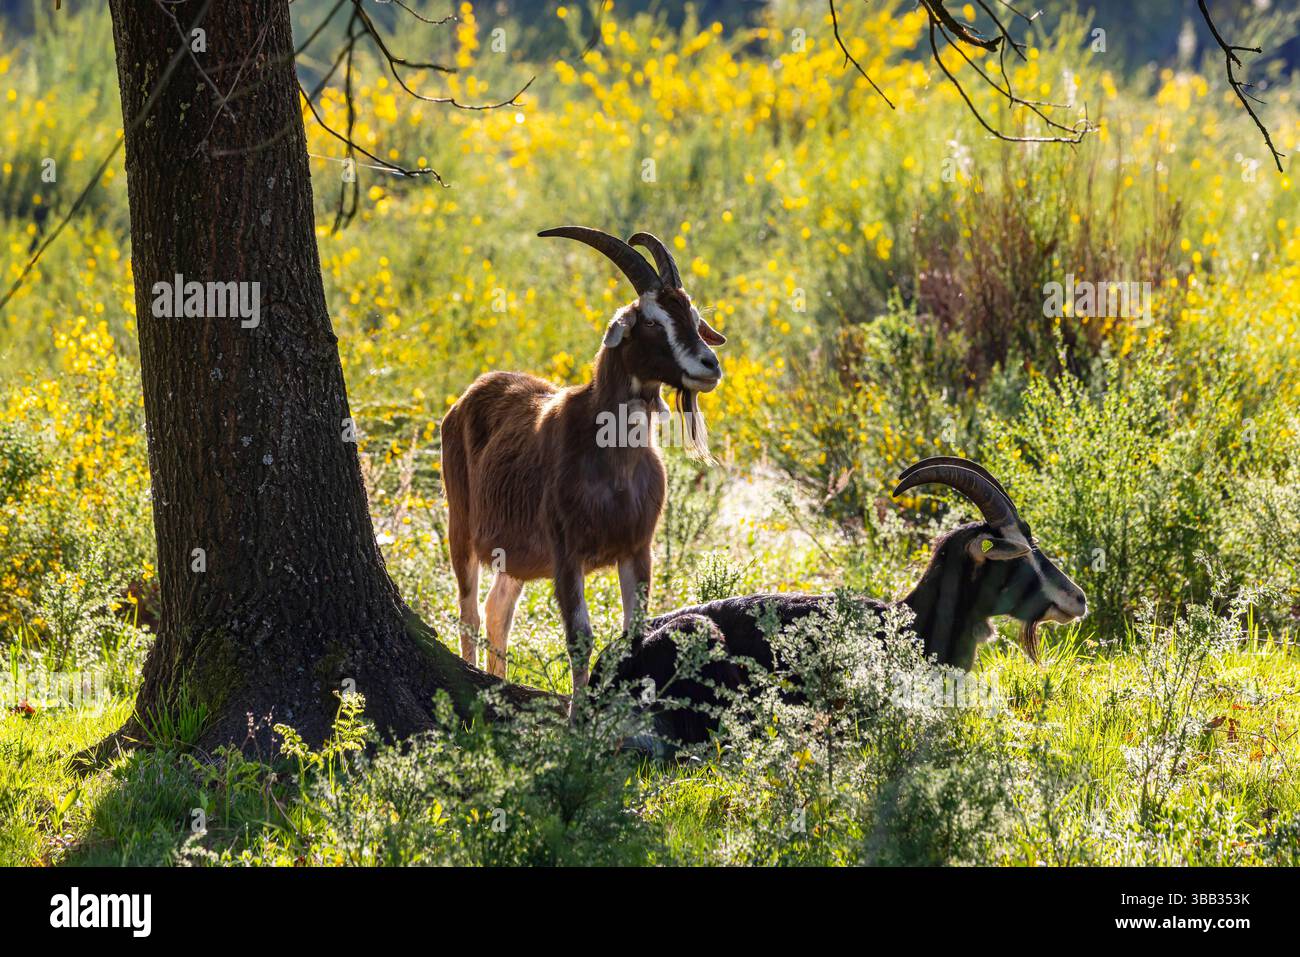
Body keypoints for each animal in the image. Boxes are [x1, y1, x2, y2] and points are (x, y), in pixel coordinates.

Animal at [440, 226, 727, 717]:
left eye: (691, 315)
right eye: (652, 322)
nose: (710, 366)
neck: (613, 460)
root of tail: (468, 396)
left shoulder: (637, 549)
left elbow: (634, 635)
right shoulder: (566, 553)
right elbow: (580, 638)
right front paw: (579, 720)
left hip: (514, 557)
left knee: (498, 612)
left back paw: (498, 685)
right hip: (461, 530)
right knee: (470, 614)